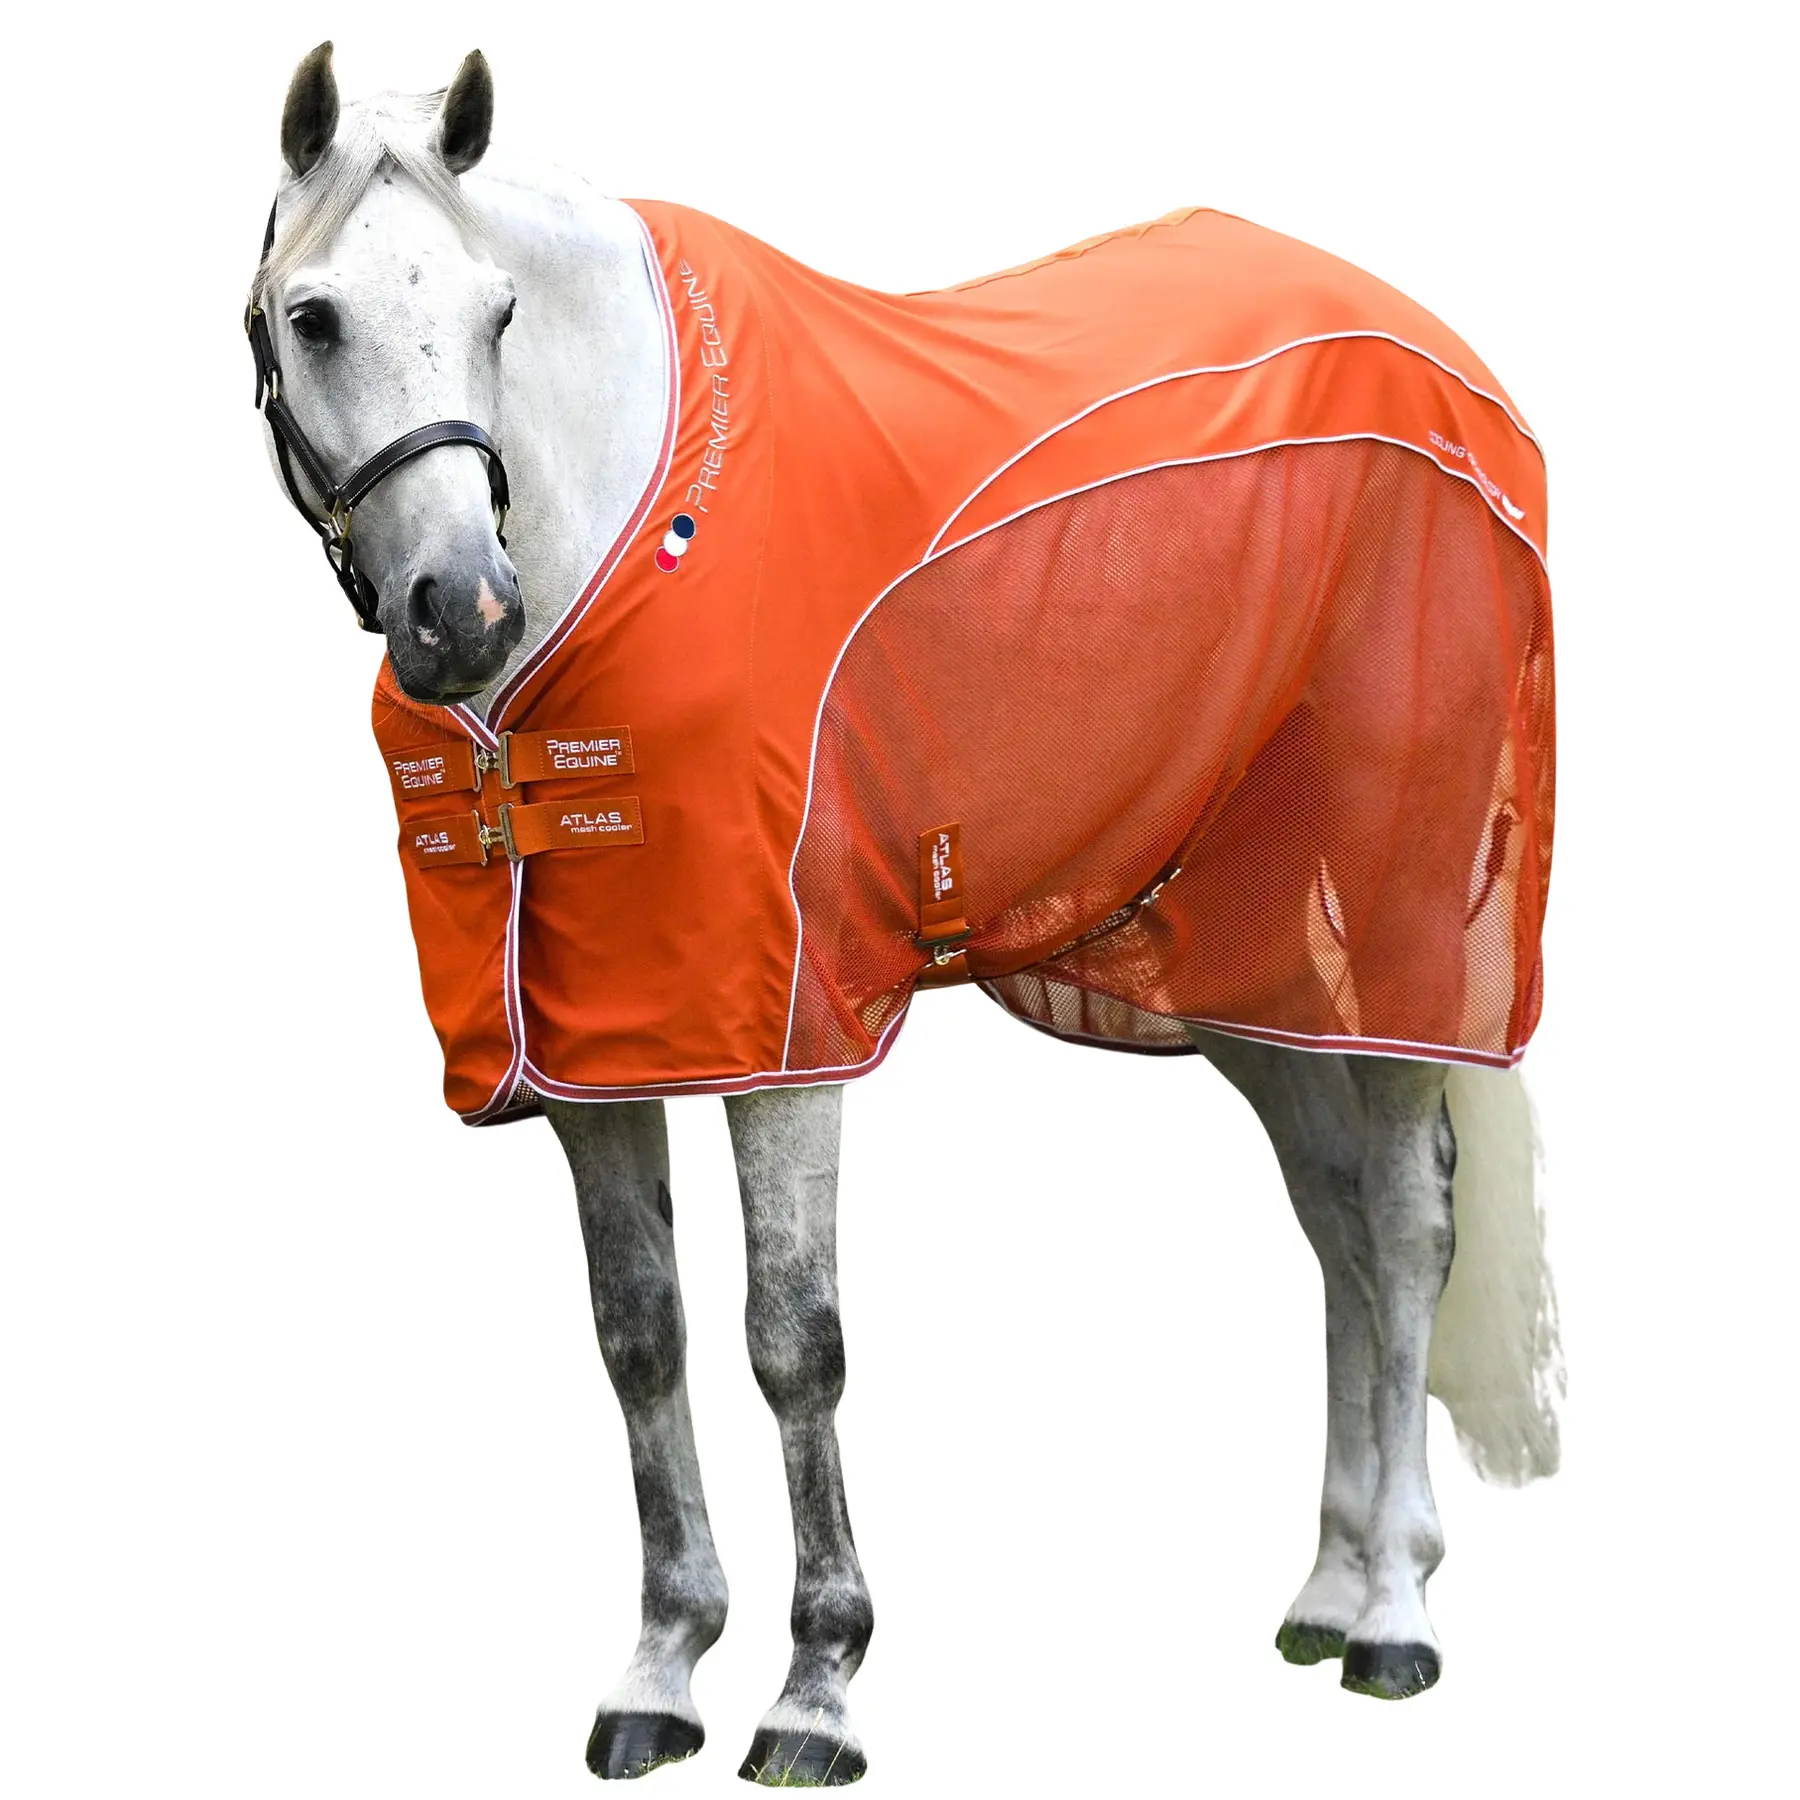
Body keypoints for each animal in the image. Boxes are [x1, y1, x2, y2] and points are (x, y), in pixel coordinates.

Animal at [244, 41, 1563, 1786]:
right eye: (313, 314)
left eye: (498, 311)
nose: (460, 610)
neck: (628, 538)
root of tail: (1443, 356)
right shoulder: (594, 1050)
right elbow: (639, 1336)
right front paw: (660, 1672)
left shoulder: (785, 1028)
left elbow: (793, 1343)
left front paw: (816, 1688)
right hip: (1249, 963)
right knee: (1340, 1220)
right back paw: (1334, 1588)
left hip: (1398, 928)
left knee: (1409, 1228)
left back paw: (1398, 1621)